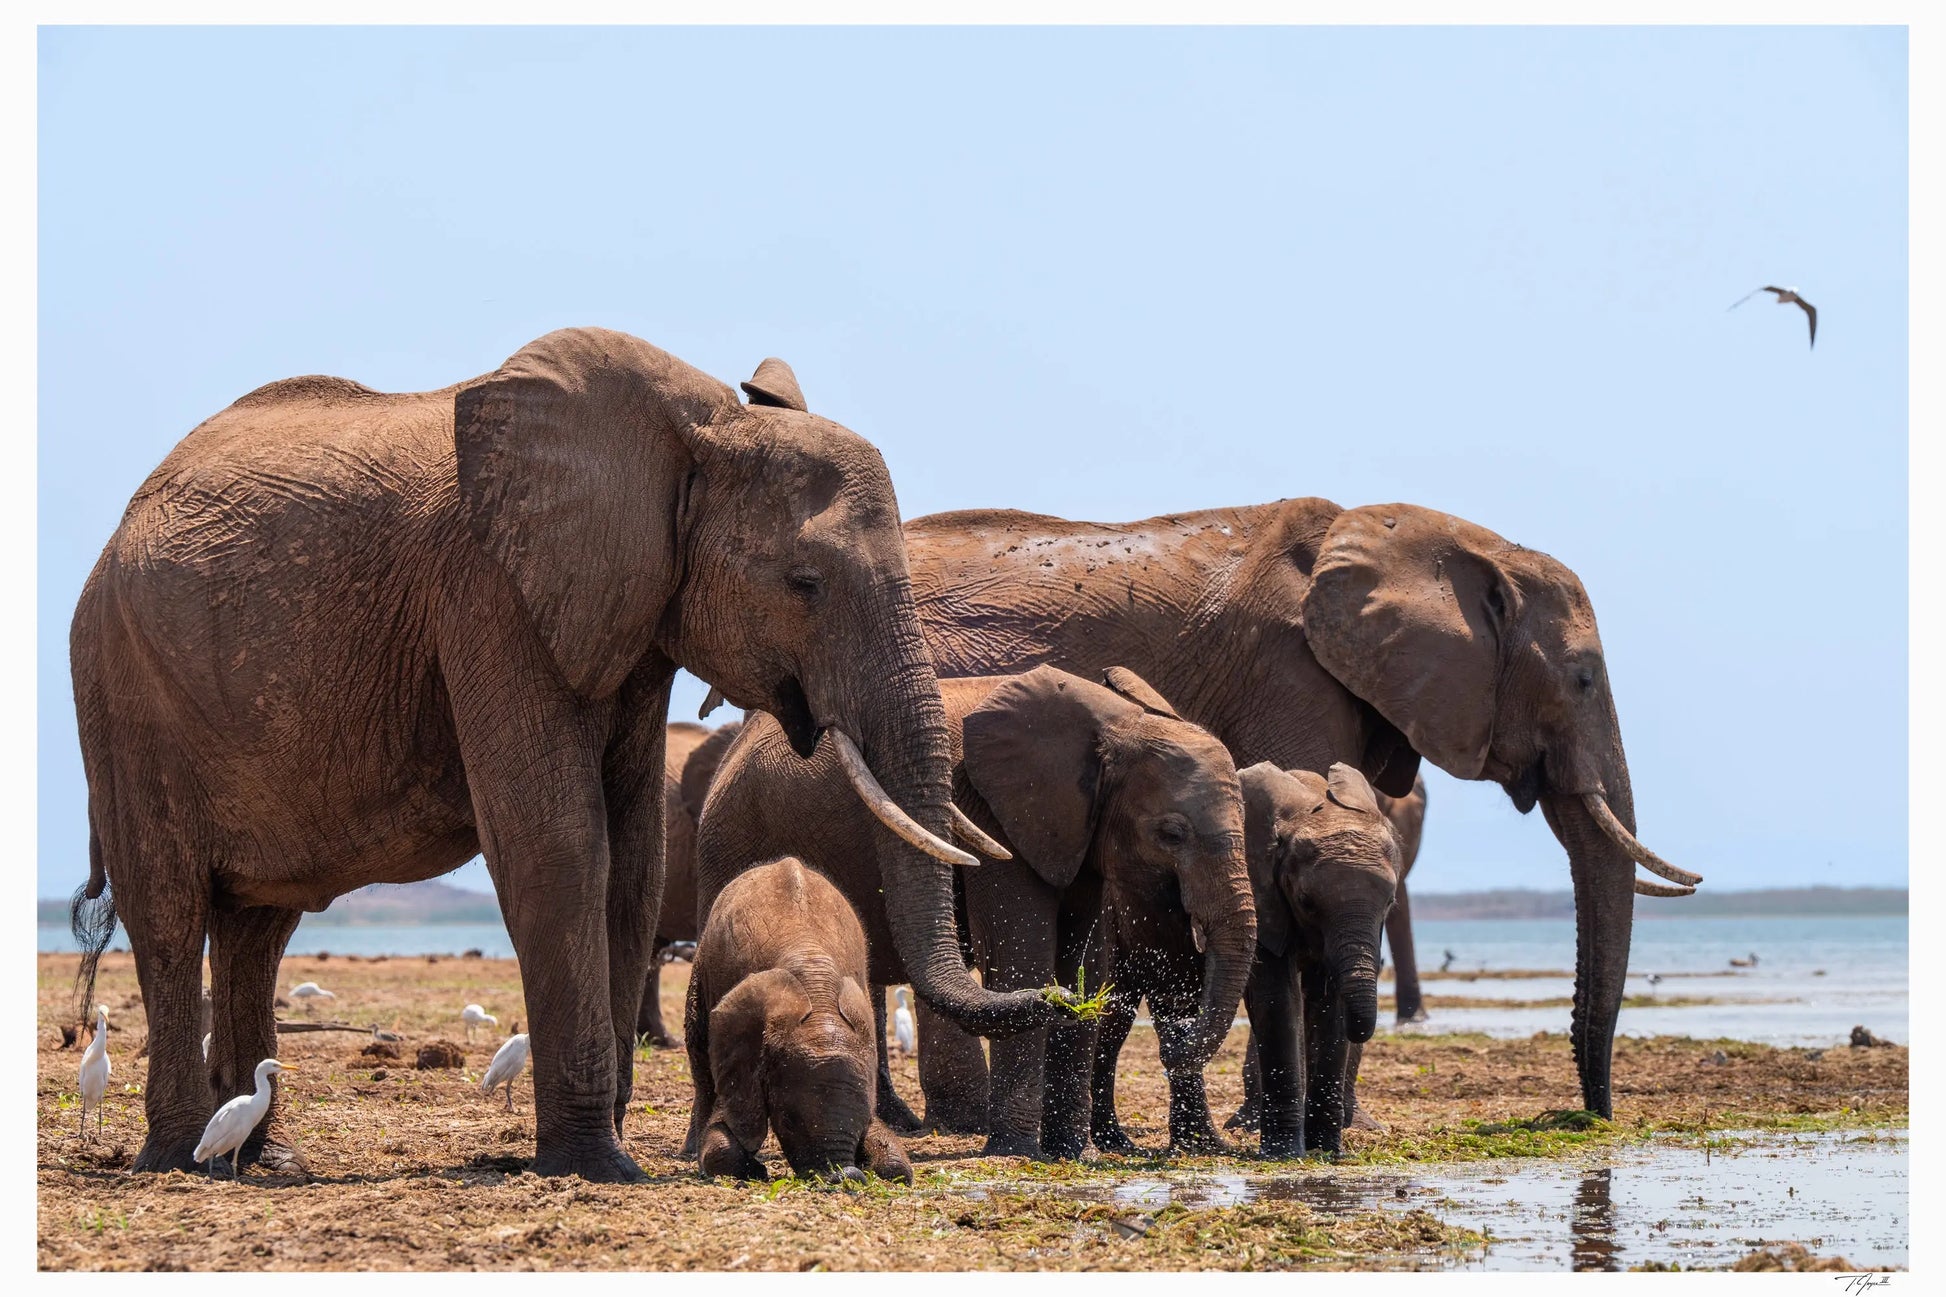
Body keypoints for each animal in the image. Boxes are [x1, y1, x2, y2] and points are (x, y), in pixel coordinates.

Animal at [684, 852, 910, 1176]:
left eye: (860, 1124)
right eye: (788, 1121)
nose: (844, 1176)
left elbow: (895, 1164)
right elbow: (727, 1134)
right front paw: (755, 1170)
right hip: (702, 968)